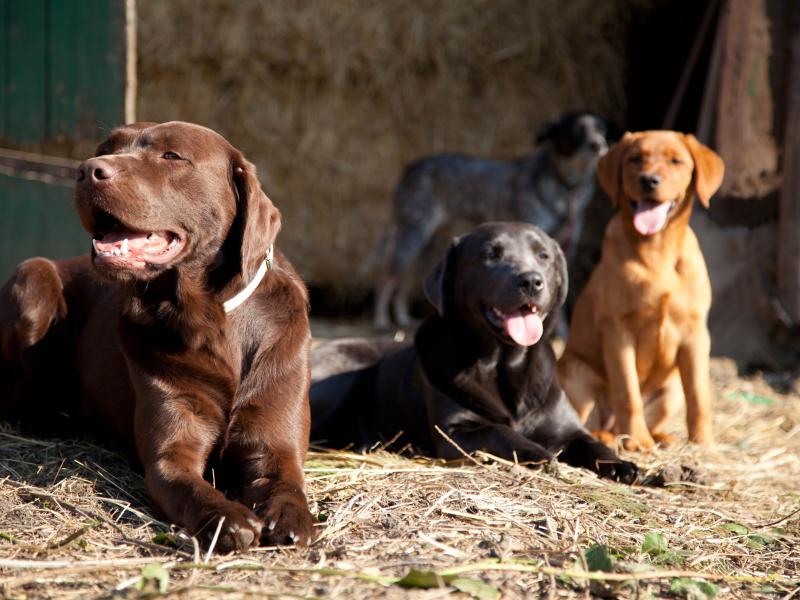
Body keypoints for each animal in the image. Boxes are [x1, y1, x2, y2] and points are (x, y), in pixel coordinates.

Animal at [372, 110, 616, 330]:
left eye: (601, 129)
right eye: (576, 131)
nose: (598, 144)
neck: (567, 188)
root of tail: (410, 168)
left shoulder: (565, 250)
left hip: (426, 246)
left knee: (404, 281)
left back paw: (403, 318)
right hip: (411, 237)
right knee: (385, 278)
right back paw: (381, 321)